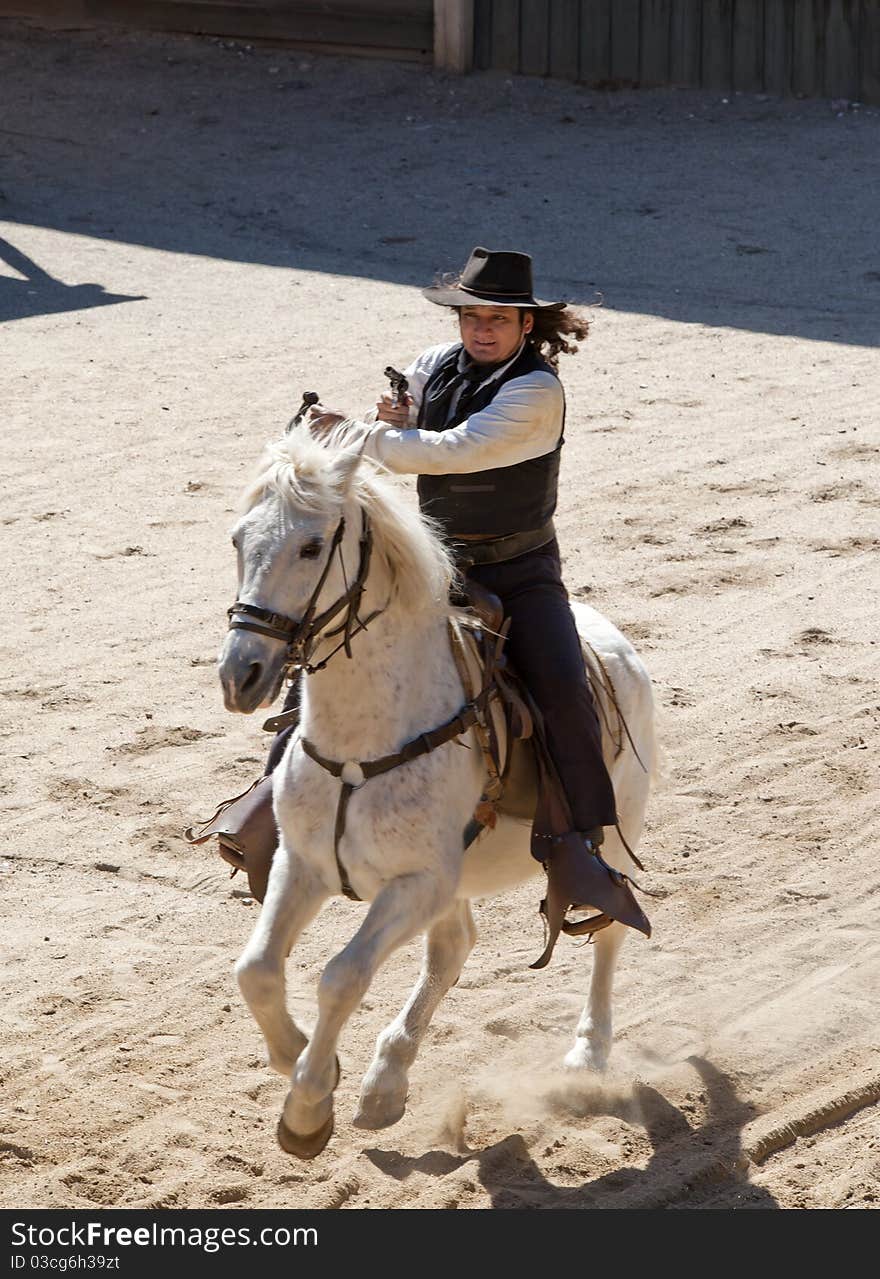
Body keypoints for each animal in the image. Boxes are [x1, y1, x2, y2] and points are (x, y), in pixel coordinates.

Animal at [214, 429, 652, 1161]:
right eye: (239, 539)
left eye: (311, 546)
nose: (240, 674)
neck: (366, 742)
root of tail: (618, 645)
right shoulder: (303, 863)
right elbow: (257, 970)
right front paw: (308, 1062)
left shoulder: (418, 881)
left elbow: (341, 975)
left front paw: (308, 1105)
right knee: (453, 949)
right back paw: (385, 1082)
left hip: (615, 836)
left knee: (609, 927)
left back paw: (587, 1054)